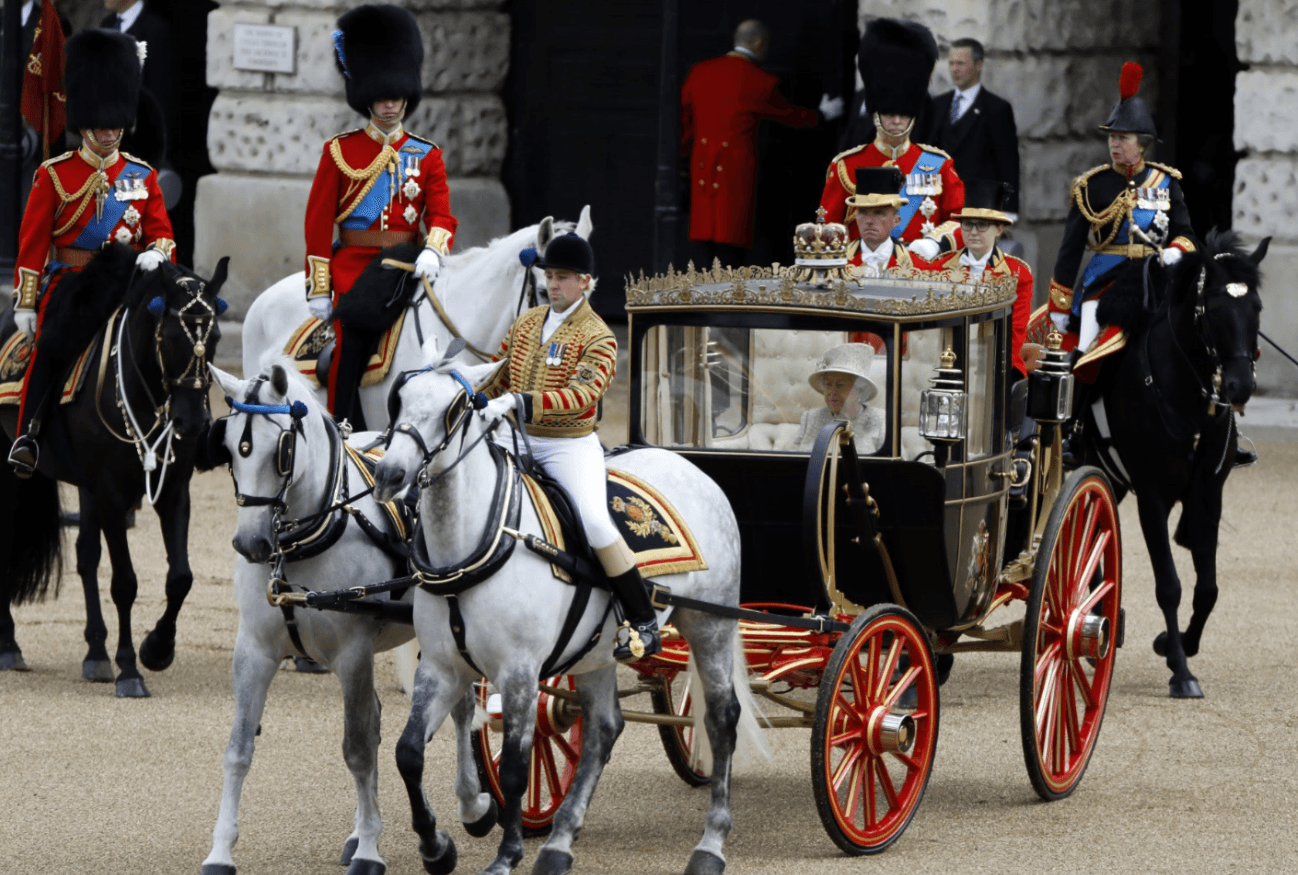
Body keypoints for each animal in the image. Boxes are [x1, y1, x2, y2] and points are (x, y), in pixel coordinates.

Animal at [0, 245, 228, 695]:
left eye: (213, 340)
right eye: (170, 337)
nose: (193, 423)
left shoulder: (172, 489)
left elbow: (180, 577)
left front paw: (157, 648)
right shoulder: (111, 492)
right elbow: (125, 582)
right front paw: (129, 669)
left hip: (87, 486)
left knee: (85, 556)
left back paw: (95, 653)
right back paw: (10, 645)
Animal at [201, 360, 495, 872]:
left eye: (281, 452)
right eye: (231, 446)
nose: (250, 544)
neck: (301, 544)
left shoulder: (353, 653)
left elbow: (357, 748)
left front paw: (372, 850)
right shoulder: (253, 650)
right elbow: (239, 749)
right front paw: (221, 850)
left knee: (458, 711)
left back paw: (470, 805)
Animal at [373, 347, 758, 872]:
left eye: (453, 409)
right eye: (399, 398)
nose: (389, 475)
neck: (475, 543)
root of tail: (686, 464)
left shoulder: (519, 671)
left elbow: (516, 769)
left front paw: (506, 854)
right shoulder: (440, 666)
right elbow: (408, 753)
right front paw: (437, 848)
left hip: (709, 623)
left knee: (721, 719)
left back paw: (711, 843)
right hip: (596, 651)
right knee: (604, 729)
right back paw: (559, 841)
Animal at [1074, 228, 1266, 701]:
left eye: (1255, 307)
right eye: (1212, 310)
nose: (1239, 386)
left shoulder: (1207, 495)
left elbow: (1208, 587)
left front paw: (1175, 644)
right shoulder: (1153, 497)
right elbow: (1169, 585)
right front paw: (1181, 669)